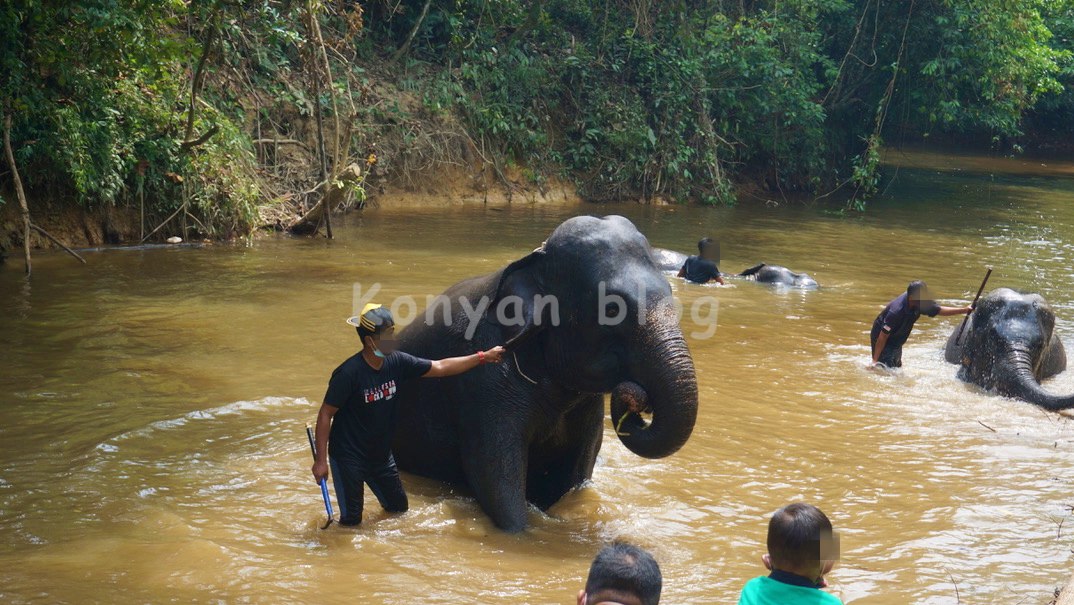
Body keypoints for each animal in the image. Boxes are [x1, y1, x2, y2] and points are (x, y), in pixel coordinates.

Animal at [390, 214, 700, 533]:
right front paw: (522, 534)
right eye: (612, 308)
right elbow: (495, 479)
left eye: (670, 292)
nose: (637, 398)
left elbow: (578, 471)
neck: (534, 260)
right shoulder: (483, 388)